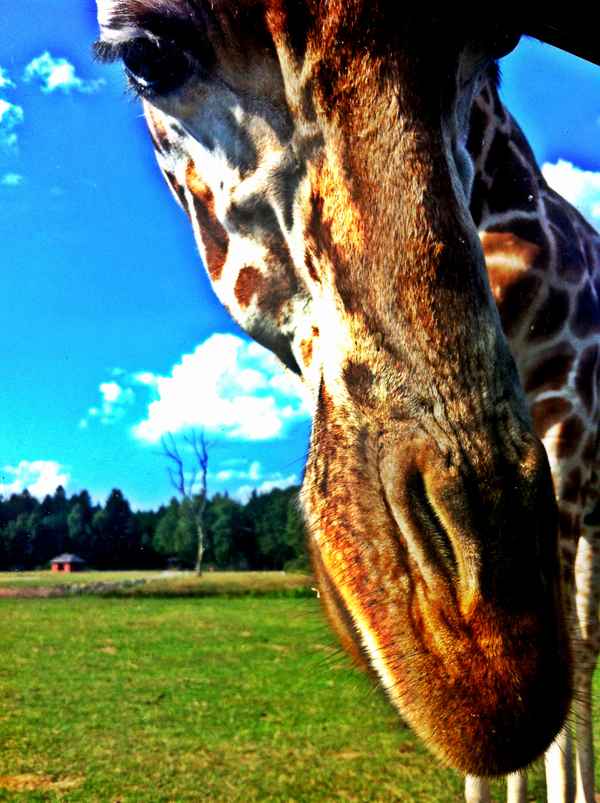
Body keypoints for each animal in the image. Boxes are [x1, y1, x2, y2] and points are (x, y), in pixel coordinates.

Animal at [94, 2, 599, 799]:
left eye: (502, 37)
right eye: (146, 55)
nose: (485, 661)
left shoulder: (567, 434)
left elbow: (575, 643)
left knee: (585, 631)